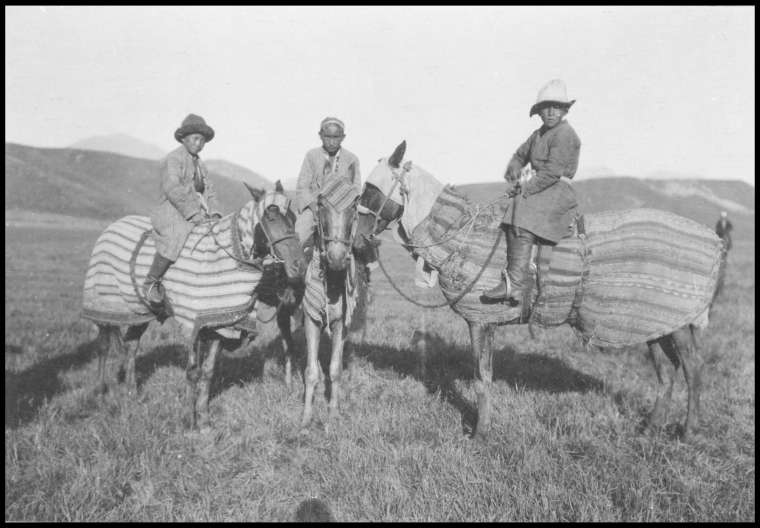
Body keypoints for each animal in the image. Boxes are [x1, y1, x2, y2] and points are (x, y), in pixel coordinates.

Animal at [81, 182, 308, 434]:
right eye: (271, 216)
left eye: (293, 217)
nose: (299, 266)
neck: (223, 256)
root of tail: (111, 228)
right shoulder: (193, 324)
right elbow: (192, 372)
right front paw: (188, 420)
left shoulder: (221, 326)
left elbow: (207, 372)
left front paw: (205, 420)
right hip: (105, 304)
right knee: (103, 347)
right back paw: (99, 392)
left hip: (140, 311)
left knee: (131, 346)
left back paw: (131, 393)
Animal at [354, 141, 728, 442]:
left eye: (372, 189)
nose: (357, 243)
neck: (462, 235)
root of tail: (715, 240)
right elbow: (484, 376)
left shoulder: (480, 321)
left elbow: (482, 378)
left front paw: (480, 433)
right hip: (652, 323)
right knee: (667, 373)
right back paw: (650, 428)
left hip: (675, 321)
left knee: (693, 368)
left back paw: (689, 431)